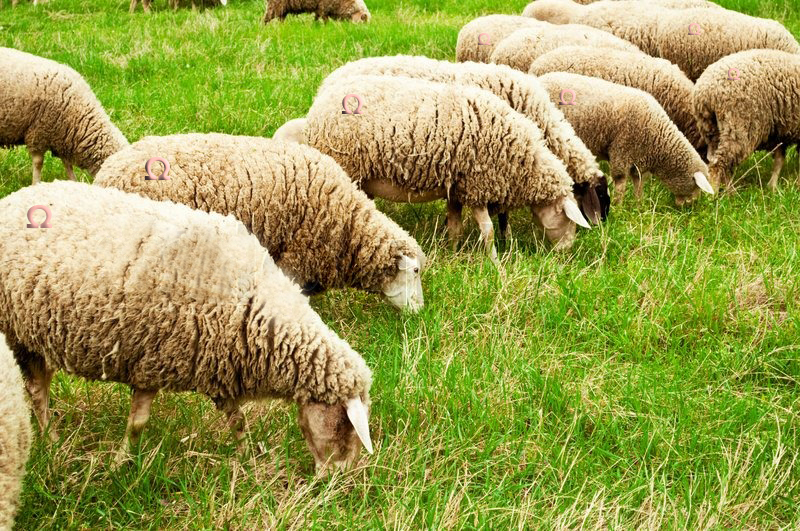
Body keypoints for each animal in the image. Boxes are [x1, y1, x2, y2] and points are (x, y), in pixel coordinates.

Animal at [0, 47, 128, 186]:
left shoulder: (63, 136)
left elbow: (67, 164)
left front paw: (73, 181)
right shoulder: (38, 132)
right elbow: (38, 163)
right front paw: (36, 183)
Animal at [0, 181, 374, 473]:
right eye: (346, 425)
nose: (337, 480)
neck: (254, 305)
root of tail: (14, 199)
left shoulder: (217, 366)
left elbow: (236, 419)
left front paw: (247, 458)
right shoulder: (151, 362)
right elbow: (137, 424)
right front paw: (122, 463)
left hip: (35, 337)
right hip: (16, 333)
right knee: (36, 392)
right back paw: (51, 439)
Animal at [292, 75, 592, 256]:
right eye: (570, 220)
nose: (567, 253)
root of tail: (318, 106)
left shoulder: (457, 187)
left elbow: (455, 224)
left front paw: (454, 250)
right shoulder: (476, 185)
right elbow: (488, 231)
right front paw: (495, 263)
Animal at [537, 72, 714, 205]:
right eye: (696, 188)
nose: (688, 208)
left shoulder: (639, 161)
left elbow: (638, 183)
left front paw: (638, 205)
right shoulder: (622, 149)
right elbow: (621, 182)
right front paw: (618, 206)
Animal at [693, 49, 800, 191]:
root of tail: (705, 92)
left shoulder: (780, 131)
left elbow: (779, 159)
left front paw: (772, 187)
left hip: (711, 128)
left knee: (714, 159)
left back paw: (730, 191)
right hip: (738, 126)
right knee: (719, 163)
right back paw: (715, 193)